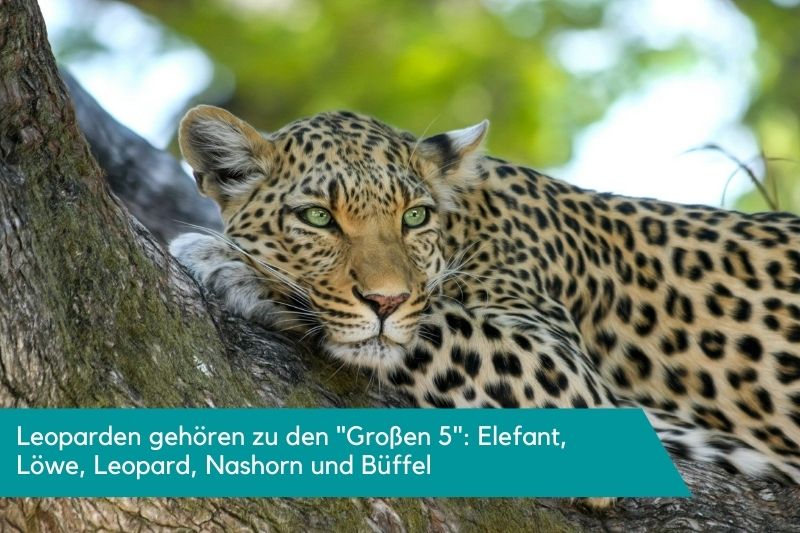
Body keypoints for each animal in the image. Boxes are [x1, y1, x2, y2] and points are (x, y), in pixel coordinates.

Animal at [170, 105, 800, 489]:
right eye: (318, 218)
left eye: (414, 217)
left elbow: (436, 323)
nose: (385, 302)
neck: (466, 223)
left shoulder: (567, 377)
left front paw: (232, 265)